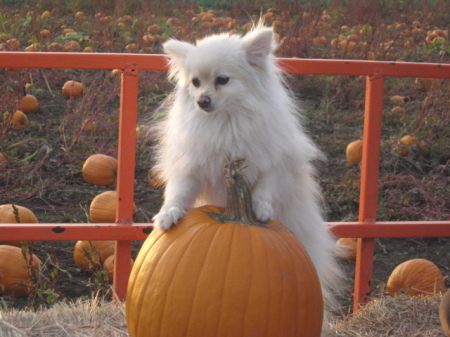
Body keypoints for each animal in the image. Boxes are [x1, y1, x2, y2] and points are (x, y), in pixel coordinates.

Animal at [151, 24, 342, 320]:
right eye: (195, 82)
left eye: (222, 80)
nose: (202, 100)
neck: (226, 122)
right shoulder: (191, 169)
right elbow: (178, 193)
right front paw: (168, 214)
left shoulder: (275, 163)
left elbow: (266, 186)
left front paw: (261, 208)